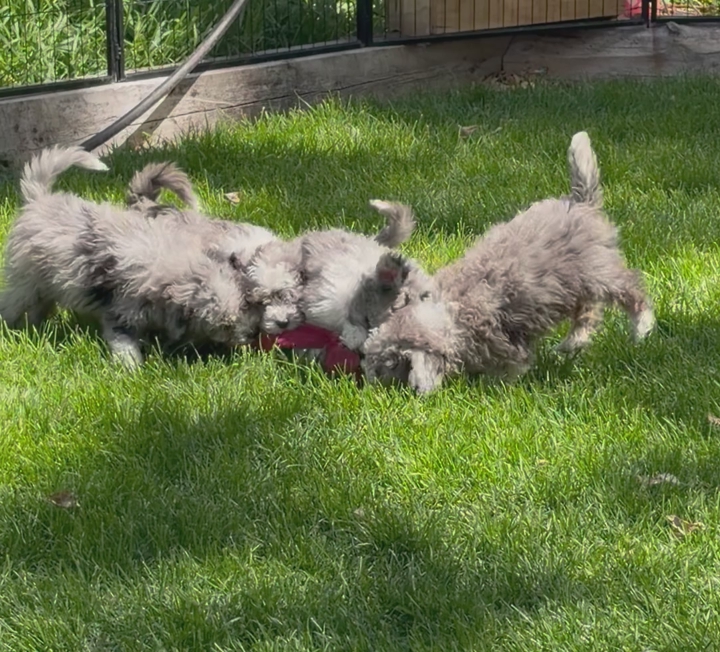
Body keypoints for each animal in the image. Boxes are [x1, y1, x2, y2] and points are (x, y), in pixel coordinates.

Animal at [0, 147, 263, 367]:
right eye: (226, 325)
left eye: (245, 304)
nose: (253, 334)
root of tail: (38, 199)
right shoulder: (120, 314)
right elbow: (124, 344)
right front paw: (132, 369)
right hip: (26, 284)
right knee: (13, 304)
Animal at [361, 131, 656, 394]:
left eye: (387, 367)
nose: (365, 385)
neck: (449, 315)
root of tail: (580, 202)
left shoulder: (504, 344)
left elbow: (510, 368)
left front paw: (497, 389)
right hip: (575, 285)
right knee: (589, 312)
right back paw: (572, 344)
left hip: (600, 273)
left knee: (633, 289)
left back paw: (642, 327)